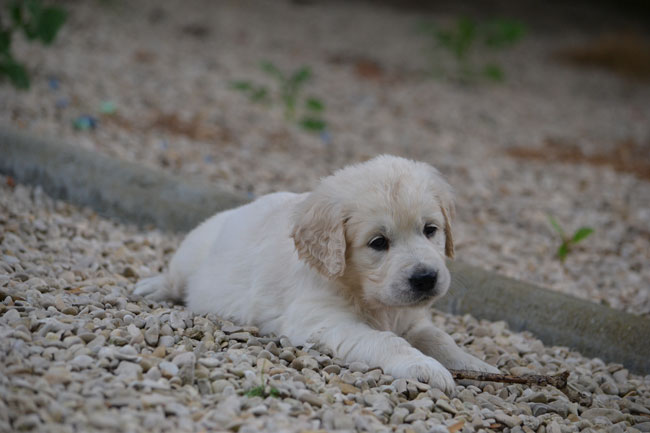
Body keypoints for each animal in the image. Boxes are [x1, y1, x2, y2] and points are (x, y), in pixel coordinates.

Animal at [134, 155, 494, 392]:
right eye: (378, 242)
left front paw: (478, 365)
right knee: (175, 278)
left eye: (430, 229)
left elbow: (441, 339)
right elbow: (384, 340)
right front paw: (424, 367)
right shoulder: (324, 320)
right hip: (192, 252)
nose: (425, 278)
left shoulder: (413, 321)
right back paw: (151, 287)